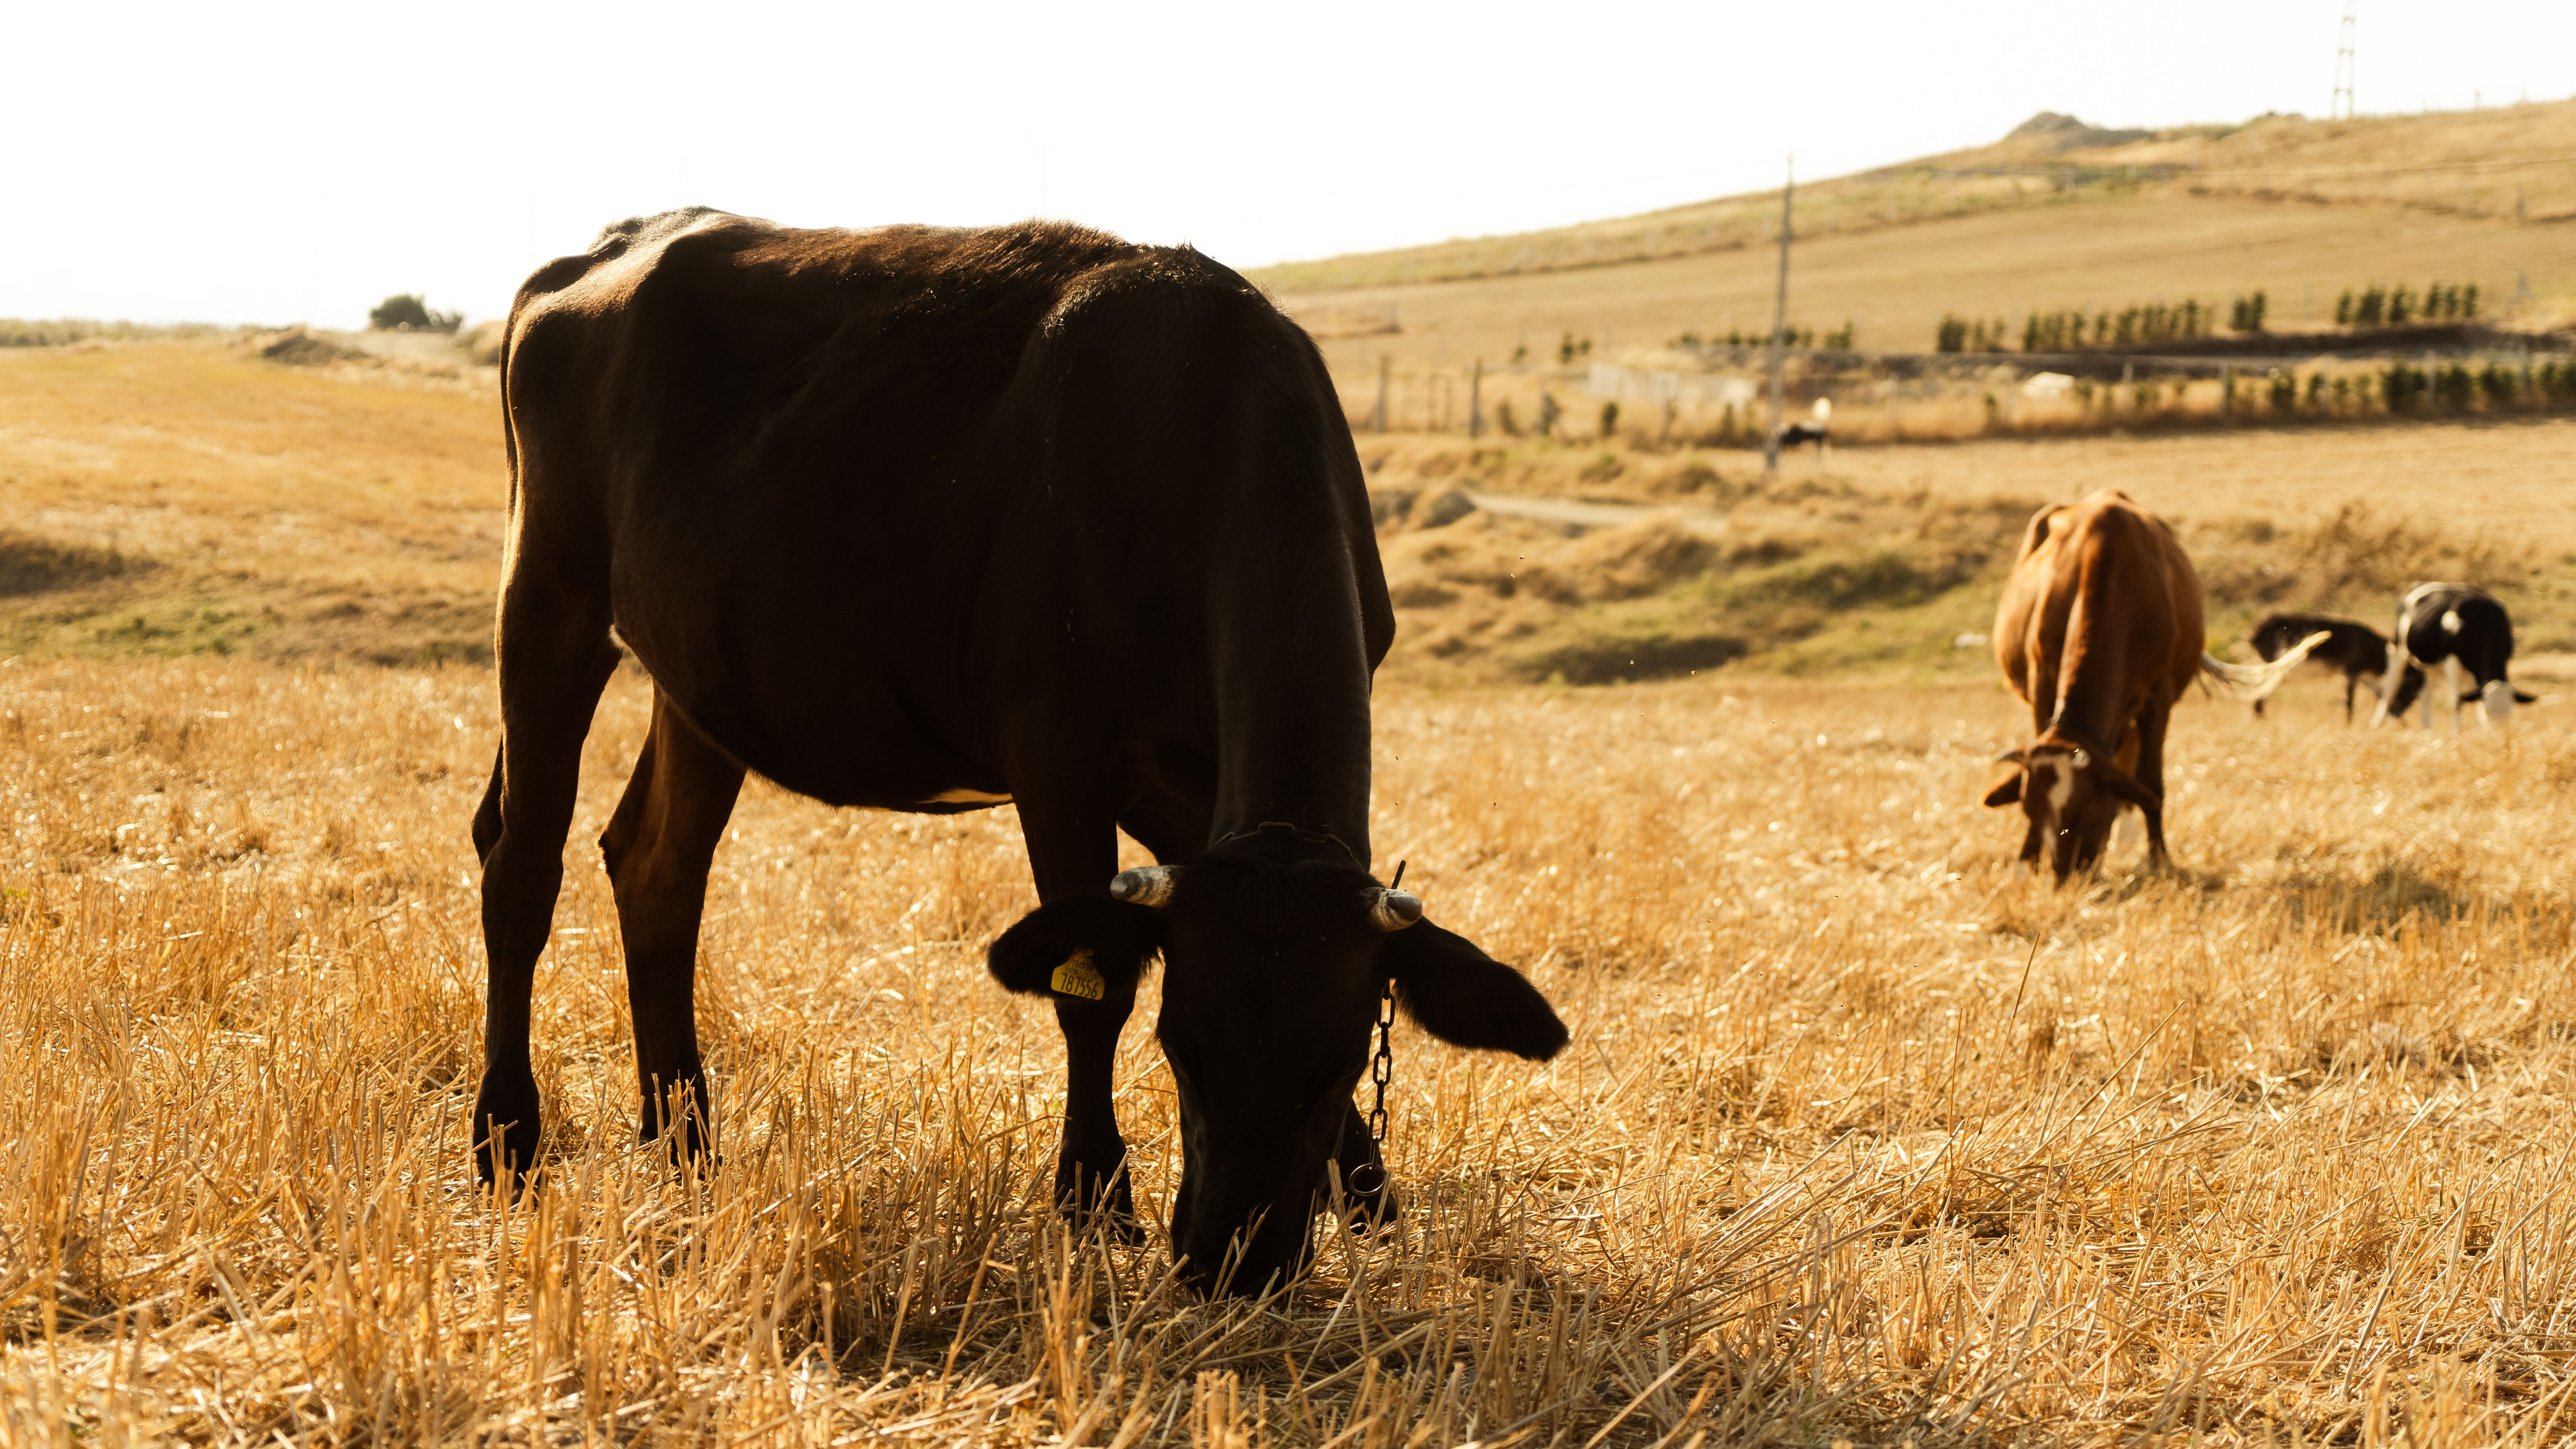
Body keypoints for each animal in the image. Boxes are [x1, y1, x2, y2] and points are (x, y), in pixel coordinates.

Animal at [470, 209, 1568, 1296]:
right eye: (1182, 1043)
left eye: (1342, 1059)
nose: (1233, 1260)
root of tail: (622, 240)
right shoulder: (1057, 752)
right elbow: (1092, 989)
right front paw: (1095, 1196)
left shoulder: (1195, 796)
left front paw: (1372, 1198)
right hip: (548, 591)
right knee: (523, 865)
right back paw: (507, 1137)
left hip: (699, 672)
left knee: (658, 868)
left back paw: (684, 1142)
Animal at [1982, 491, 2316, 879]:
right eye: (2029, 809)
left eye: (2089, 812)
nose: (2067, 877)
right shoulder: (2042, 687)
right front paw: (2025, 863)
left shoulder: (2159, 698)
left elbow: (2151, 783)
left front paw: (2160, 860)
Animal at [2248, 613, 2425, 722]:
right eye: (2411, 689)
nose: (2398, 714)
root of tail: (2258, 630)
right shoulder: (2352, 674)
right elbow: (2350, 703)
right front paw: (2349, 728)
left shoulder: (2366, 678)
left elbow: (2381, 697)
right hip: (2272, 669)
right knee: (2259, 699)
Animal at [2371, 583, 2533, 731]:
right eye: (2489, 711)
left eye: (2510, 712)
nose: (2500, 732)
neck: (2485, 618)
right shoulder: (2451, 661)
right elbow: (2457, 701)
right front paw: (2457, 733)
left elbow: (2477, 700)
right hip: (2397, 651)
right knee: (2389, 690)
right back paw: (2377, 725)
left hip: (2431, 668)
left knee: (2426, 696)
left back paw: (2427, 731)